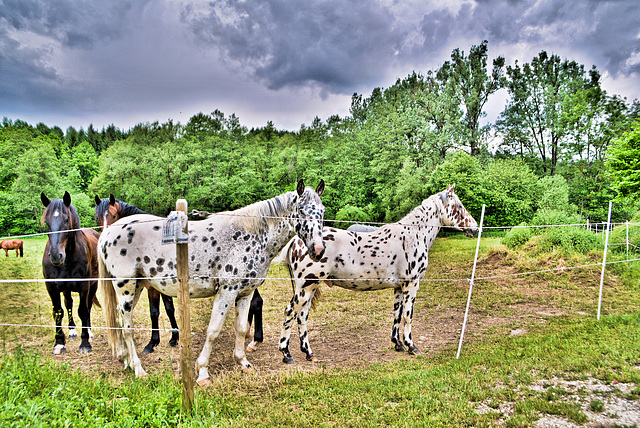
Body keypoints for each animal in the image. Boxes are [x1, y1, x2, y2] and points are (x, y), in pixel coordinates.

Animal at [99, 179, 324, 386]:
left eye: (322, 211)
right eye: (301, 210)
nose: (318, 250)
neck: (248, 236)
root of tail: (107, 233)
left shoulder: (245, 293)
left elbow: (241, 327)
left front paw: (243, 362)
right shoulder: (227, 292)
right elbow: (213, 331)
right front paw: (202, 372)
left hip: (136, 287)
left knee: (121, 322)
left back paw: (127, 361)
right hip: (126, 287)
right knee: (128, 328)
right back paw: (139, 369)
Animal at [278, 185, 478, 364]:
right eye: (459, 206)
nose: (475, 228)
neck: (413, 235)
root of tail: (297, 240)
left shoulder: (399, 288)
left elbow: (397, 314)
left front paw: (398, 344)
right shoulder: (411, 285)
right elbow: (408, 316)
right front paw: (412, 346)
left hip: (310, 287)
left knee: (302, 316)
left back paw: (309, 353)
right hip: (306, 286)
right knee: (290, 312)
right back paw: (286, 354)